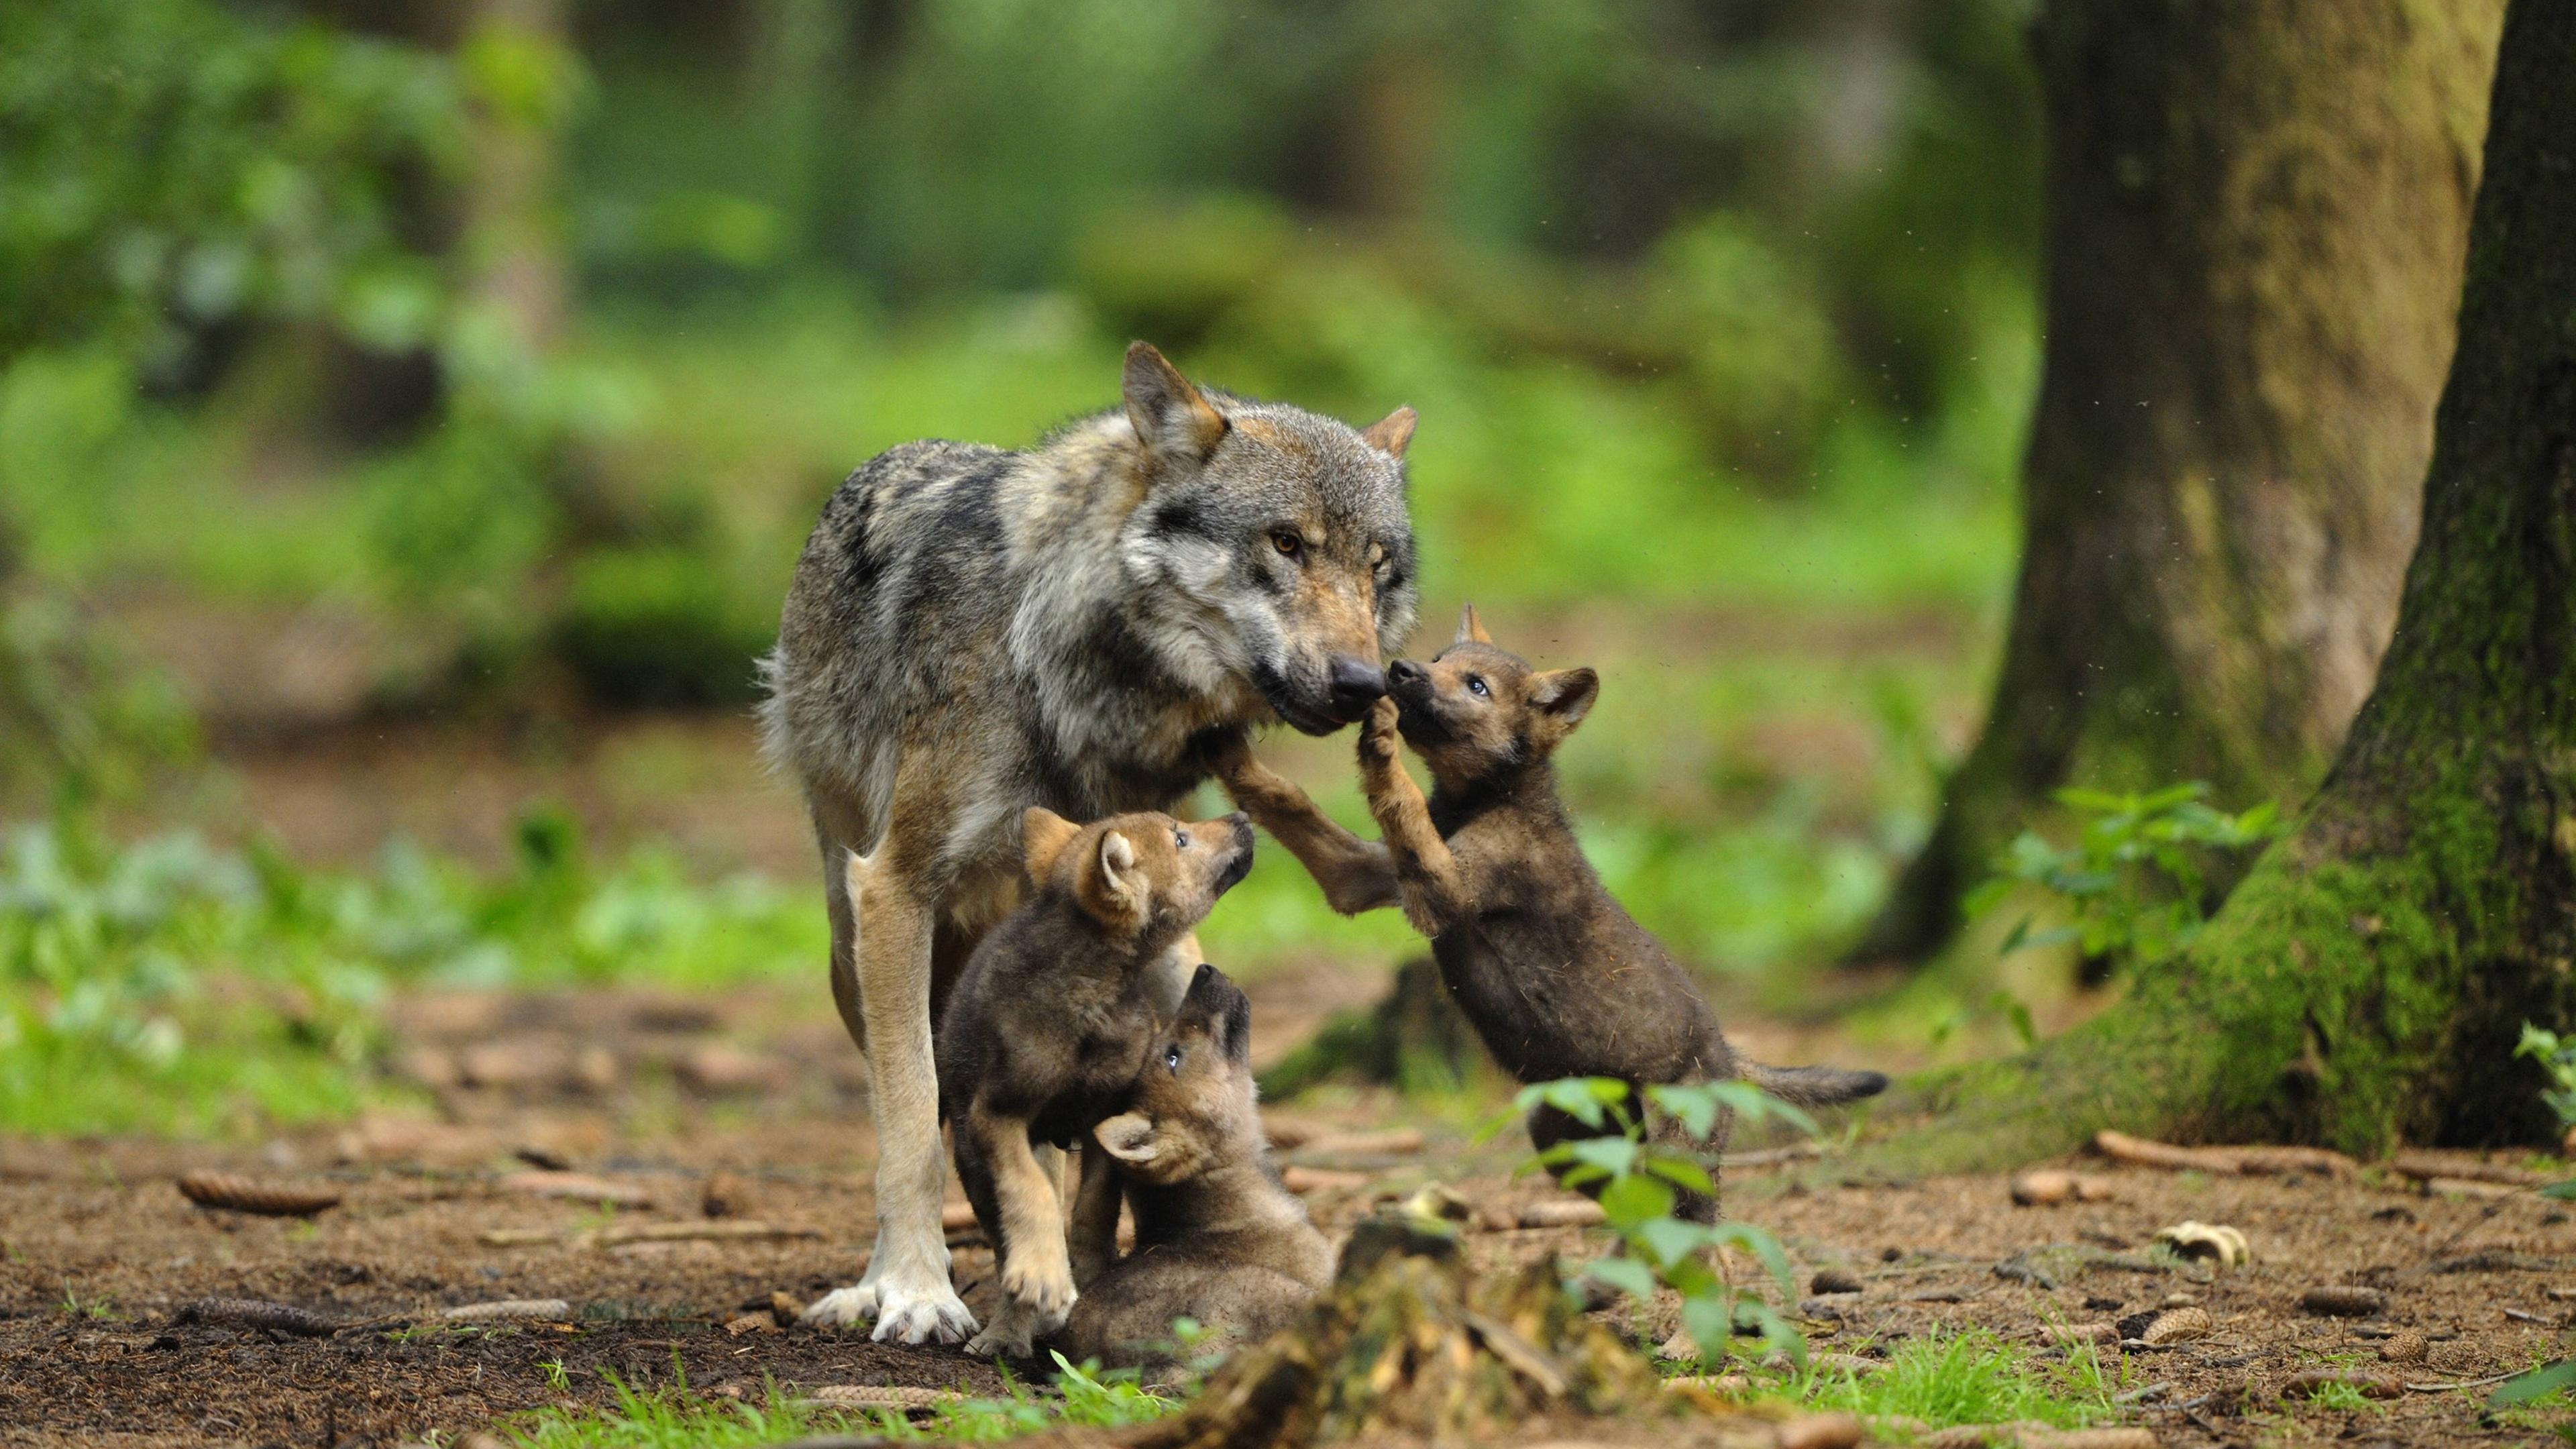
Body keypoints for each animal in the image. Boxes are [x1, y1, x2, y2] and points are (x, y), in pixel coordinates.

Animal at [752, 343, 1421, 1340]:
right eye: (1286, 544)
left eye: (1376, 567)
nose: (1361, 683)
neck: (1063, 658)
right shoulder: (897, 888)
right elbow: (911, 1126)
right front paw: (914, 1291)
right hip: (851, 944)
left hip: (1169, 953)